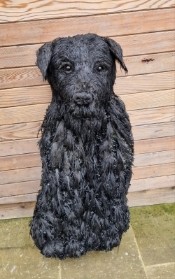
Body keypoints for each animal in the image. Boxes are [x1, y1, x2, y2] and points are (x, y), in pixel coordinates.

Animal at [30, 33, 134, 260]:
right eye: (66, 67)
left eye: (101, 67)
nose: (83, 99)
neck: (87, 134)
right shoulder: (64, 176)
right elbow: (68, 211)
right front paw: (68, 245)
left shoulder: (111, 173)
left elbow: (107, 205)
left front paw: (107, 237)